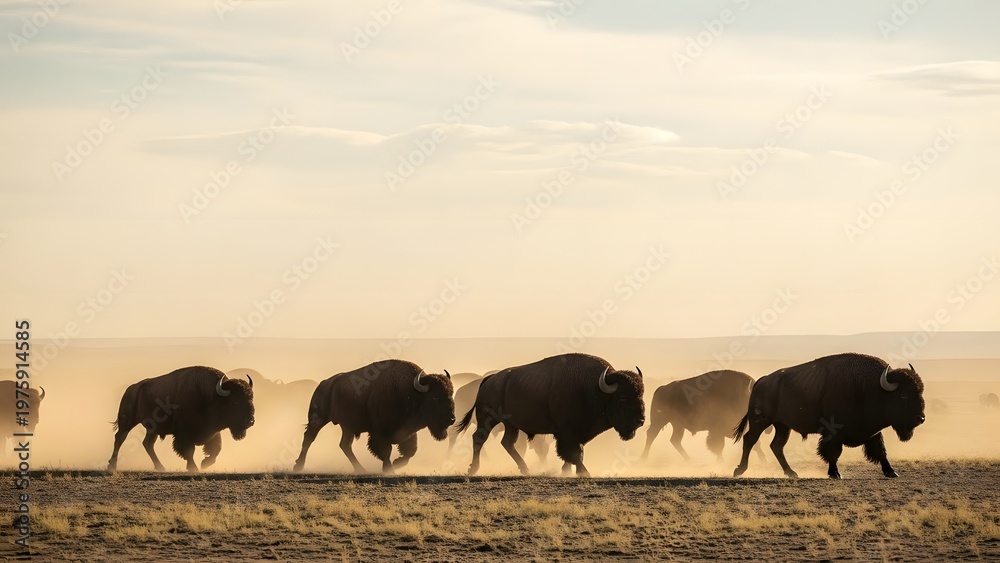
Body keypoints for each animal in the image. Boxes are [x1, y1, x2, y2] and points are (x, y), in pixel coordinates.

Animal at [107, 366, 255, 472]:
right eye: (235, 401)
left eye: (251, 398)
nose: (250, 421)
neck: (212, 396)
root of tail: (131, 389)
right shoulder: (183, 434)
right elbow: (189, 451)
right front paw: (194, 468)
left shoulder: (213, 432)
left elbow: (215, 450)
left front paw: (204, 464)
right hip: (127, 422)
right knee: (119, 438)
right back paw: (112, 466)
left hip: (152, 429)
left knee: (147, 444)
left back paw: (161, 467)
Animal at [292, 360, 454, 473]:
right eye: (435, 396)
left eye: (450, 394)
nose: (451, 419)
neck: (411, 392)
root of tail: (324, 384)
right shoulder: (379, 433)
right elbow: (385, 451)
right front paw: (389, 469)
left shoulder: (408, 433)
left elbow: (410, 451)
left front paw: (396, 464)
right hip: (318, 419)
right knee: (309, 438)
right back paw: (298, 466)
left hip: (346, 426)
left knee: (345, 445)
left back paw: (360, 469)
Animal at [456, 353, 644, 477]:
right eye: (622, 398)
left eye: (641, 394)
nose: (640, 420)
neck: (595, 389)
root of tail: (490, 380)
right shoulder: (566, 432)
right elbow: (573, 452)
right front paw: (584, 472)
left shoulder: (576, 433)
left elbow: (575, 452)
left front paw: (566, 471)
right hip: (488, 420)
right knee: (478, 439)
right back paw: (473, 469)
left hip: (511, 425)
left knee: (507, 443)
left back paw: (525, 469)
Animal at [733, 353, 925, 479]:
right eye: (903, 395)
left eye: (920, 391)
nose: (920, 418)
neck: (872, 388)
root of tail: (762, 381)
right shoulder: (833, 433)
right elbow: (833, 452)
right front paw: (835, 474)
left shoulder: (873, 432)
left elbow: (881, 451)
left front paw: (892, 472)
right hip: (760, 421)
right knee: (750, 439)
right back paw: (740, 470)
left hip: (782, 426)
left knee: (776, 446)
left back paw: (791, 473)